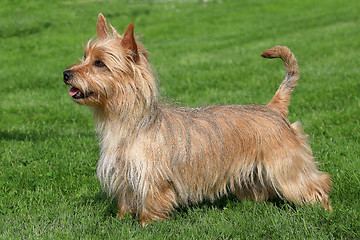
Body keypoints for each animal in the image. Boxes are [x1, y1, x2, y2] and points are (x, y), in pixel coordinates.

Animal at [62, 14, 332, 226]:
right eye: (84, 57)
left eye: (99, 63)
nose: (66, 73)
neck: (128, 121)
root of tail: (273, 108)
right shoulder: (126, 175)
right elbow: (126, 201)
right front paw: (121, 220)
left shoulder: (151, 177)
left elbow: (151, 202)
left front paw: (146, 224)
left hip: (287, 166)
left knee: (316, 183)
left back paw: (325, 210)